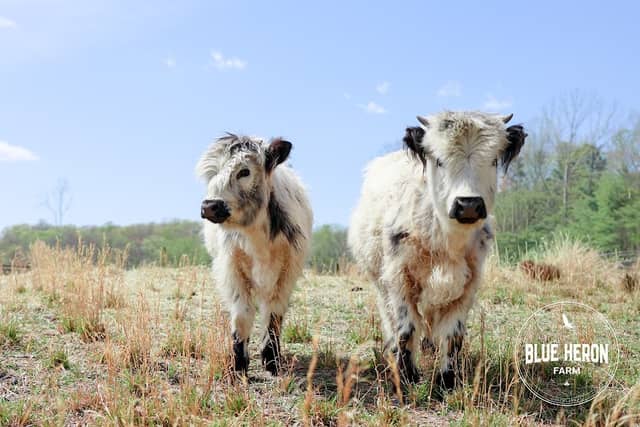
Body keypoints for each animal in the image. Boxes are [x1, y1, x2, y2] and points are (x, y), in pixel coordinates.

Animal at [196, 134, 313, 376]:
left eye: (244, 171)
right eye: (212, 172)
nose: (210, 206)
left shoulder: (286, 274)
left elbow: (274, 315)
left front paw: (272, 361)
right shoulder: (231, 270)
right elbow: (242, 315)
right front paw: (238, 365)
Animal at [348, 111, 526, 389]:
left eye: (493, 160)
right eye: (439, 161)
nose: (468, 204)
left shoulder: (467, 284)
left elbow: (453, 334)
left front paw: (447, 379)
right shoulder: (399, 278)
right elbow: (406, 327)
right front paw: (408, 375)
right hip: (379, 279)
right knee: (390, 316)